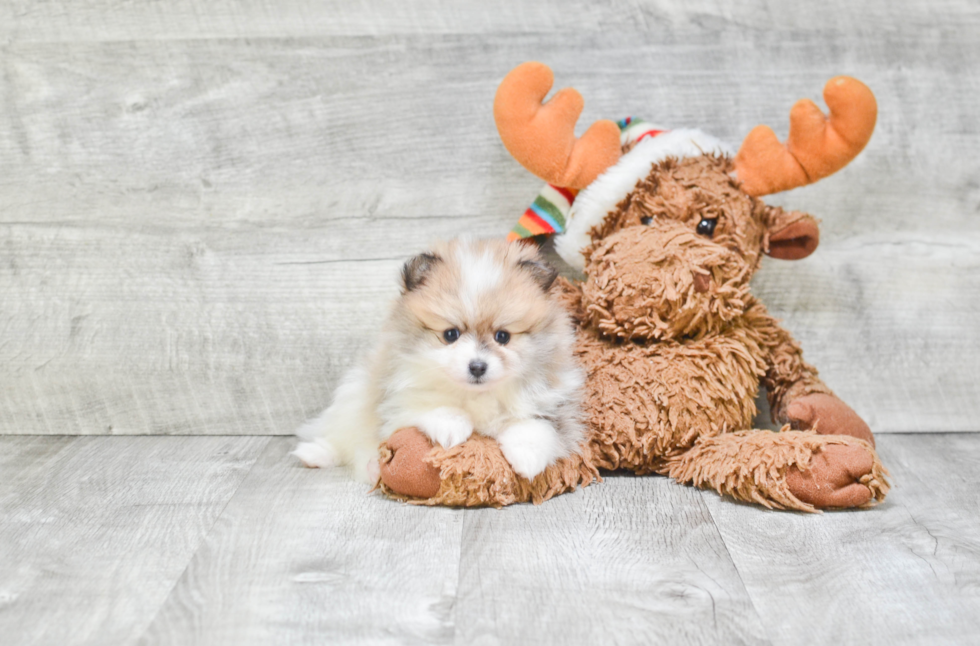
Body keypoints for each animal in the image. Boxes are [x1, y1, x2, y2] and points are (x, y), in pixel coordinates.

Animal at [290, 238, 580, 486]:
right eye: (450, 334)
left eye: (503, 336)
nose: (477, 367)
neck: (475, 395)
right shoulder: (397, 397)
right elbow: (428, 405)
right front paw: (452, 426)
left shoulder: (554, 403)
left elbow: (537, 427)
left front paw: (527, 458)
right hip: (353, 395)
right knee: (343, 438)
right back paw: (317, 454)